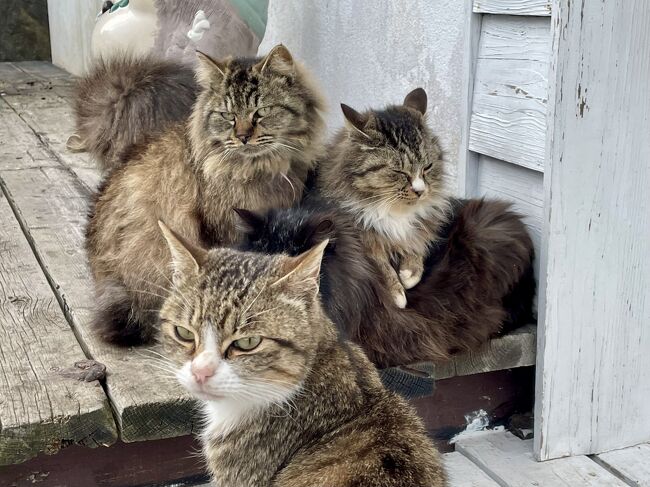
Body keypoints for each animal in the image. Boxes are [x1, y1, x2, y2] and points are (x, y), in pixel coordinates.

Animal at [318, 88, 446, 308]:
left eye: (427, 167)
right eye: (399, 172)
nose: (420, 191)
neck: (393, 210)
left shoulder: (421, 224)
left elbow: (417, 247)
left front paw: (409, 273)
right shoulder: (361, 238)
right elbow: (381, 265)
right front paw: (397, 293)